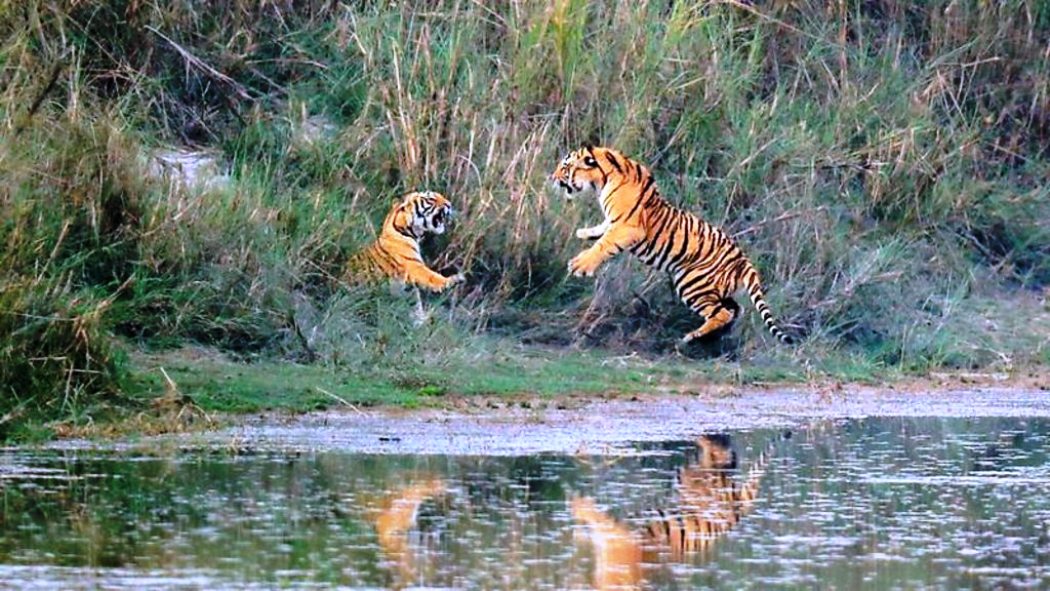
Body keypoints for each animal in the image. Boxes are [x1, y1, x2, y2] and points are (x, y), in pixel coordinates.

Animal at [550, 146, 793, 344]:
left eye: (565, 167)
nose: (552, 178)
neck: (604, 179)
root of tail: (744, 260)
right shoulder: (613, 223)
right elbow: (601, 230)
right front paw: (583, 233)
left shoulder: (628, 227)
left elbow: (604, 244)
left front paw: (579, 266)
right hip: (715, 288)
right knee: (734, 310)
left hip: (691, 283)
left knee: (721, 313)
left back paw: (690, 338)